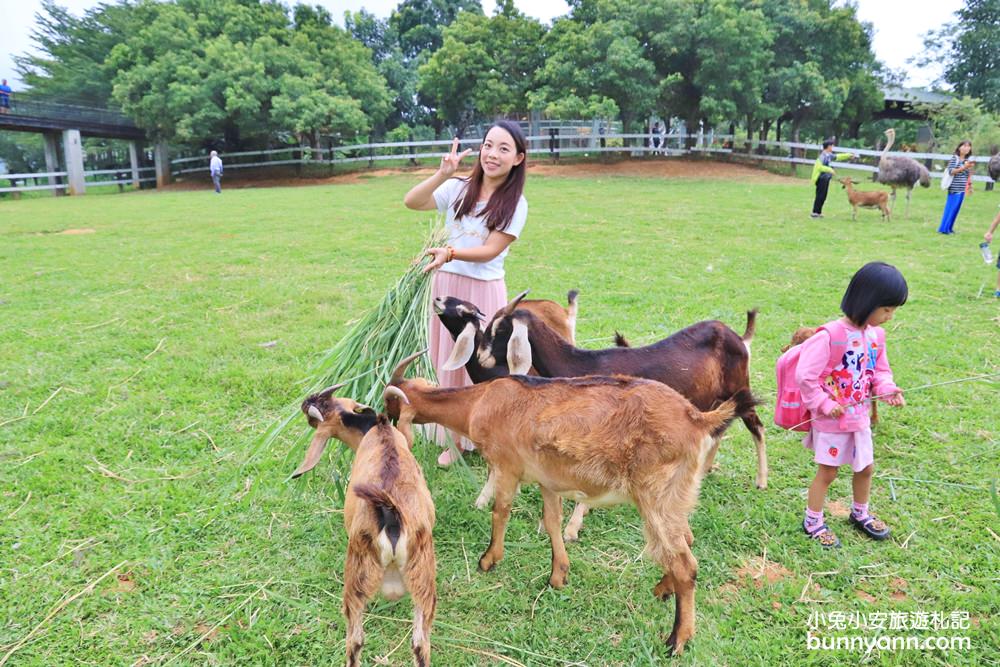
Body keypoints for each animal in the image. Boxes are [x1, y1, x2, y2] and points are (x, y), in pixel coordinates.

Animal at [292, 386, 434, 667]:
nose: (306, 401)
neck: (376, 429)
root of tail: (391, 512)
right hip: (423, 577)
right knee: (420, 645)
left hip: (357, 573)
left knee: (355, 640)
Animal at [382, 350, 756, 656]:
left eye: (391, 404)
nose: (383, 420)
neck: (481, 401)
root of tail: (697, 418)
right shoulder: (548, 481)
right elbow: (551, 522)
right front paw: (558, 575)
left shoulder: (506, 467)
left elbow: (500, 512)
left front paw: (488, 561)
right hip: (677, 496)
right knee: (684, 542)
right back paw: (662, 589)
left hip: (656, 496)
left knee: (684, 563)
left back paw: (677, 640)